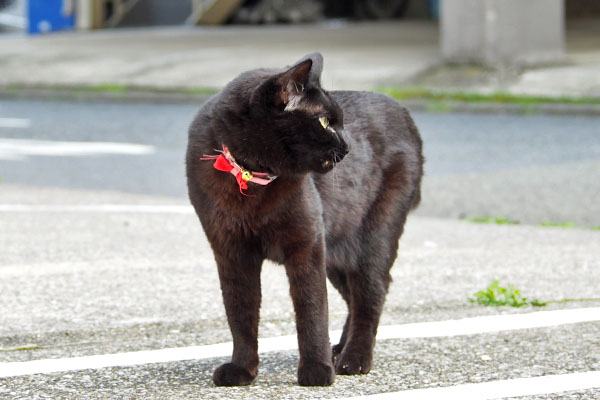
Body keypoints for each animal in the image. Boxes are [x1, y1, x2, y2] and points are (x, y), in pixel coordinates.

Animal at [185, 51, 424, 386]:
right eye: (324, 122)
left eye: (341, 121)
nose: (348, 147)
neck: (250, 176)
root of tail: (405, 113)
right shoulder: (231, 252)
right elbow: (240, 312)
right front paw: (242, 369)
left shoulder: (307, 245)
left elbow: (312, 310)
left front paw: (315, 370)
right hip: (337, 253)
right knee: (355, 296)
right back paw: (340, 349)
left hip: (374, 236)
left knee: (371, 292)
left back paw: (354, 359)